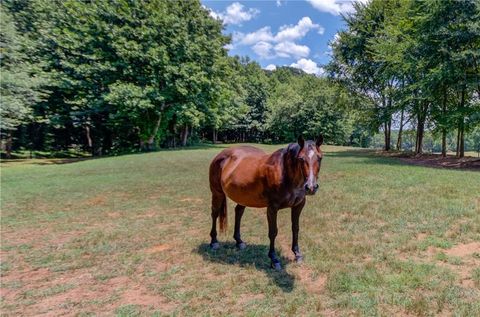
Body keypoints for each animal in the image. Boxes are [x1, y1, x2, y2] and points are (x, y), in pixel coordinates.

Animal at [207, 135, 322, 268]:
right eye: (301, 158)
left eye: (320, 158)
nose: (311, 187)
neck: (284, 172)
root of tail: (220, 155)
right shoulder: (272, 208)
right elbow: (273, 232)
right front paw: (274, 259)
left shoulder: (298, 206)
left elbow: (295, 228)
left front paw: (297, 254)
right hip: (217, 193)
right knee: (215, 214)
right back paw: (214, 242)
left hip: (243, 197)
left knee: (238, 212)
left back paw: (239, 241)